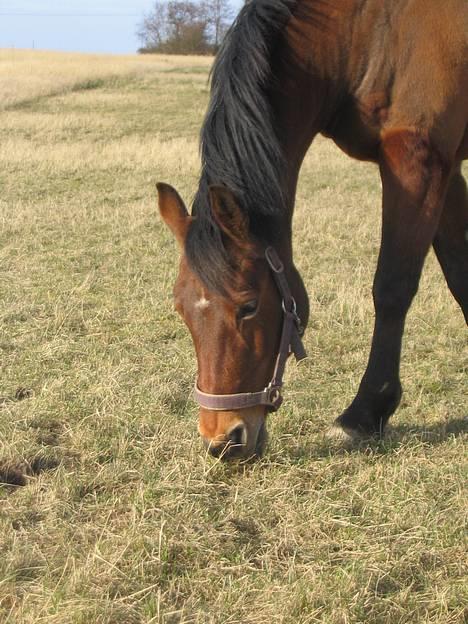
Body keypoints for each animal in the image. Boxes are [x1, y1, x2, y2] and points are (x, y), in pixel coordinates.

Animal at [158, 0, 468, 458]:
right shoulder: (446, 167)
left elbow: (392, 287)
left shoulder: (419, 159)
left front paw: (365, 413)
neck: (367, 31)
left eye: (248, 307)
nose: (222, 440)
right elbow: (461, 276)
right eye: (181, 308)